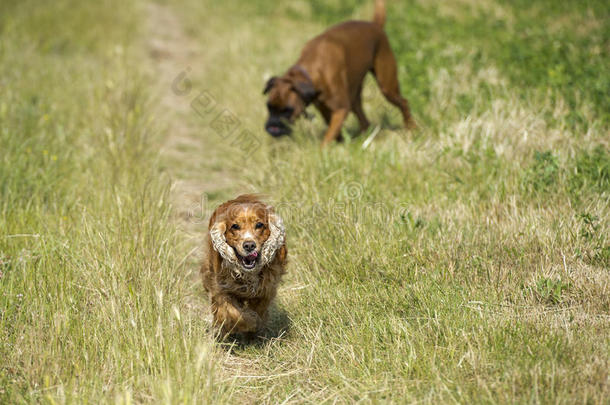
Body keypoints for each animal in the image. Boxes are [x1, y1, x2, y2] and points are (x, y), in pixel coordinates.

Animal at [200, 194, 284, 336]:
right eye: (235, 226)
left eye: (259, 225)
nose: (249, 245)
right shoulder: (221, 288)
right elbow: (234, 313)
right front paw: (250, 322)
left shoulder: (266, 289)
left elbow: (259, 309)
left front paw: (255, 325)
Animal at [262, 0, 414, 145]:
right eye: (269, 107)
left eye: (287, 110)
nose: (271, 128)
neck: (312, 69)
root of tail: (374, 25)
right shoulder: (325, 109)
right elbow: (334, 131)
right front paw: (340, 144)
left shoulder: (341, 109)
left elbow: (329, 135)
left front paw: (323, 150)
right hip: (354, 96)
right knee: (364, 120)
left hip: (387, 88)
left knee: (404, 102)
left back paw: (412, 128)